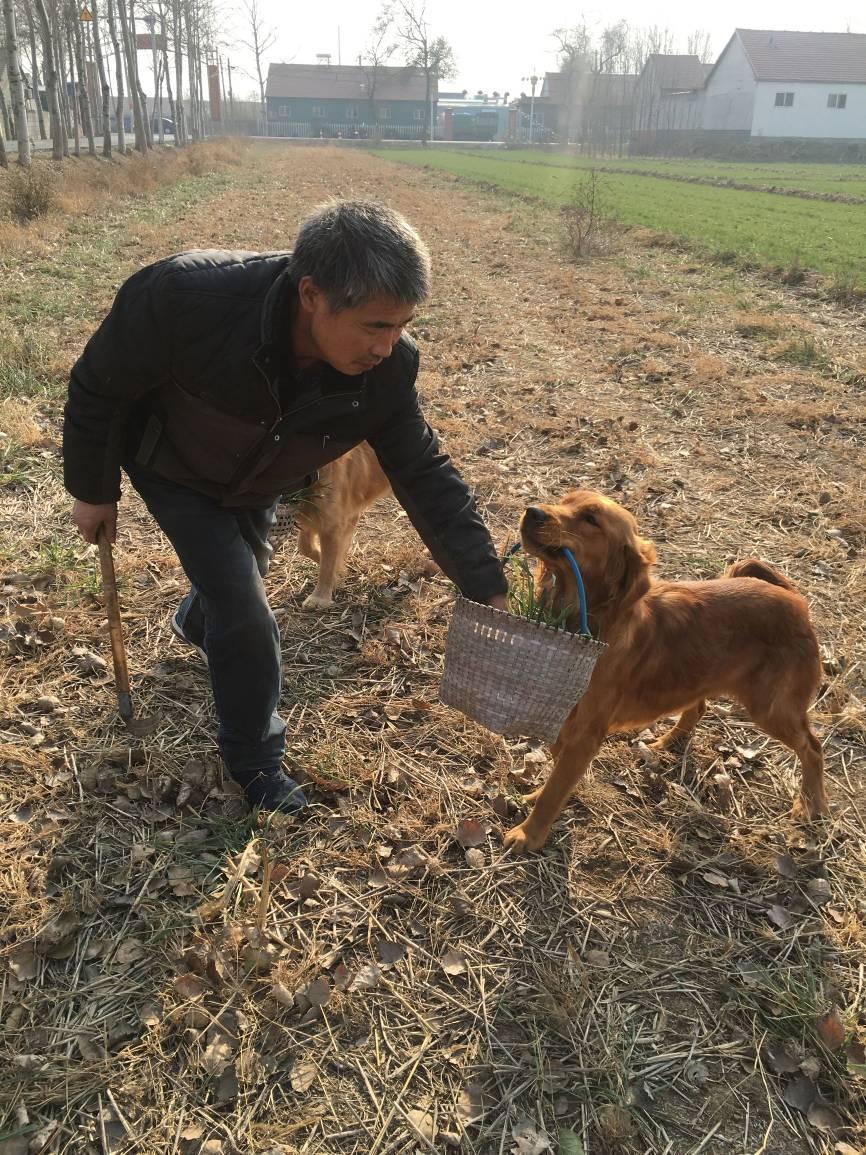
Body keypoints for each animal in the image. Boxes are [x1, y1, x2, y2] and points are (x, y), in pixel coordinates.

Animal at [505, 492, 831, 854]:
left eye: (591, 519)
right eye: (564, 500)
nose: (532, 512)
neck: (590, 617)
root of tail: (796, 600)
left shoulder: (585, 733)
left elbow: (555, 788)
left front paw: (529, 834)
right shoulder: (565, 714)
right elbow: (554, 764)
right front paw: (533, 798)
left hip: (772, 709)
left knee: (813, 747)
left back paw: (811, 804)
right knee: (699, 706)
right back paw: (668, 741)